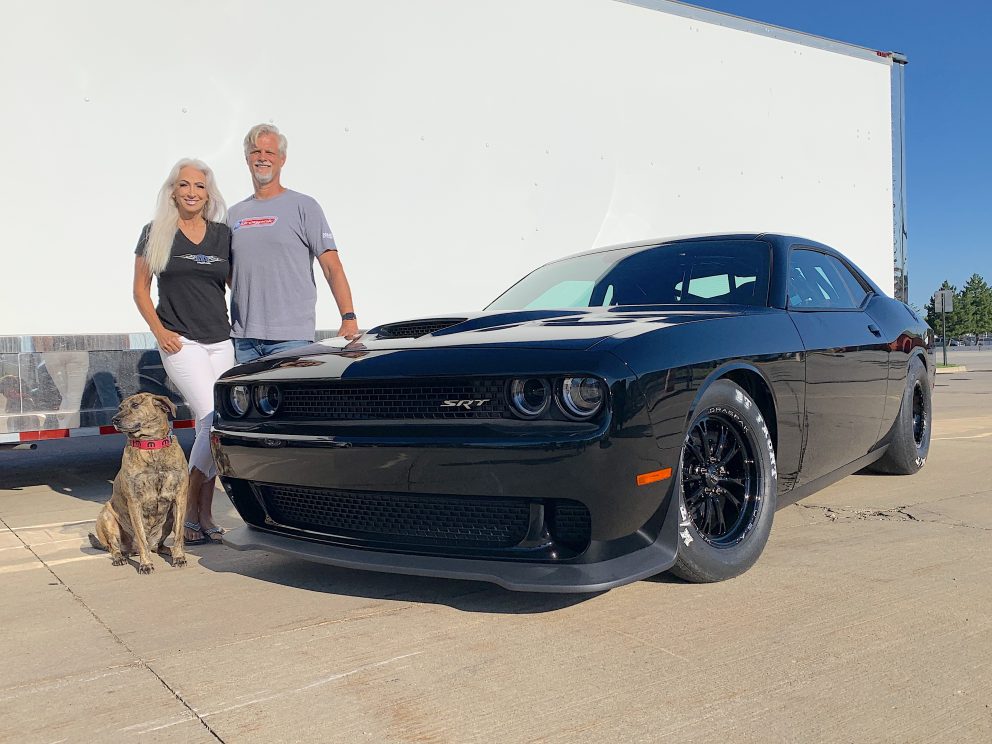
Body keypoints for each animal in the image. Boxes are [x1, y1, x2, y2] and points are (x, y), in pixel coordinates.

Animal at [90, 392, 191, 572]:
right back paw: (120, 557)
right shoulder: (134, 503)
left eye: (135, 405)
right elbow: (141, 536)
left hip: (169, 519)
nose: (114, 419)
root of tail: (131, 551)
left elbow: (179, 534)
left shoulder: (180, 498)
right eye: (120, 408)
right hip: (107, 516)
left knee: (159, 546)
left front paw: (179, 557)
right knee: (114, 547)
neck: (151, 445)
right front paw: (146, 564)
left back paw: (170, 550)